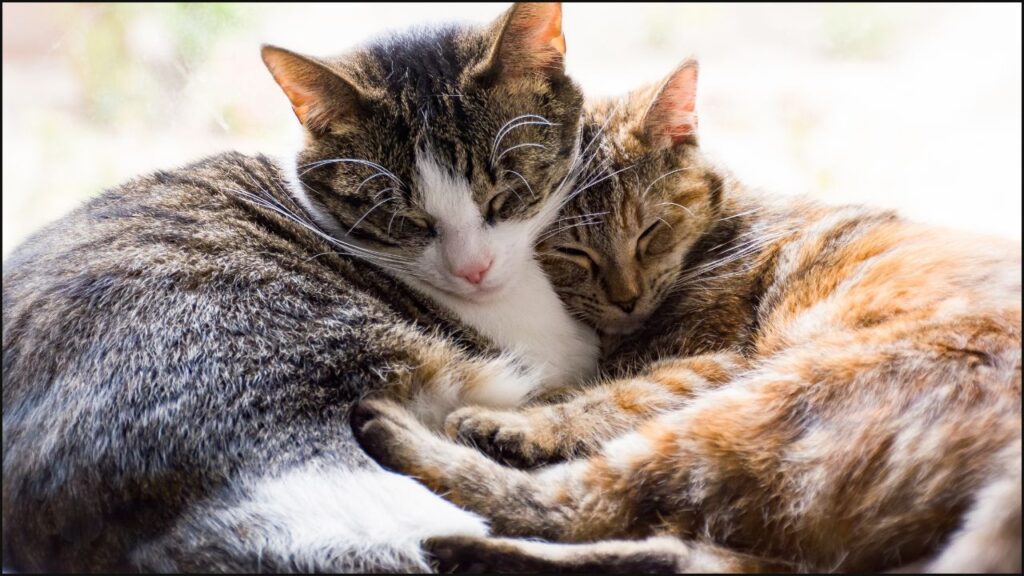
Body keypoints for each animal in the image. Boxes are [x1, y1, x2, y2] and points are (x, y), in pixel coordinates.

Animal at [354, 58, 1024, 569]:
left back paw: (418, 440)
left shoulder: (716, 362)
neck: (719, 232)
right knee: (669, 549)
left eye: (649, 233)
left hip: (764, 403)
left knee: (579, 505)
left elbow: (606, 399)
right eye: (572, 252)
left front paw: (531, 420)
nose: (626, 296)